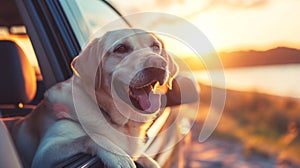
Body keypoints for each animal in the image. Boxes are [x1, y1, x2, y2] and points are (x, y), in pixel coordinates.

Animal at [9, 28, 190, 168]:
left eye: (155, 46)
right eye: (121, 48)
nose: (159, 63)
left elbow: (145, 157)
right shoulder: (45, 152)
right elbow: (90, 137)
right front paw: (119, 157)